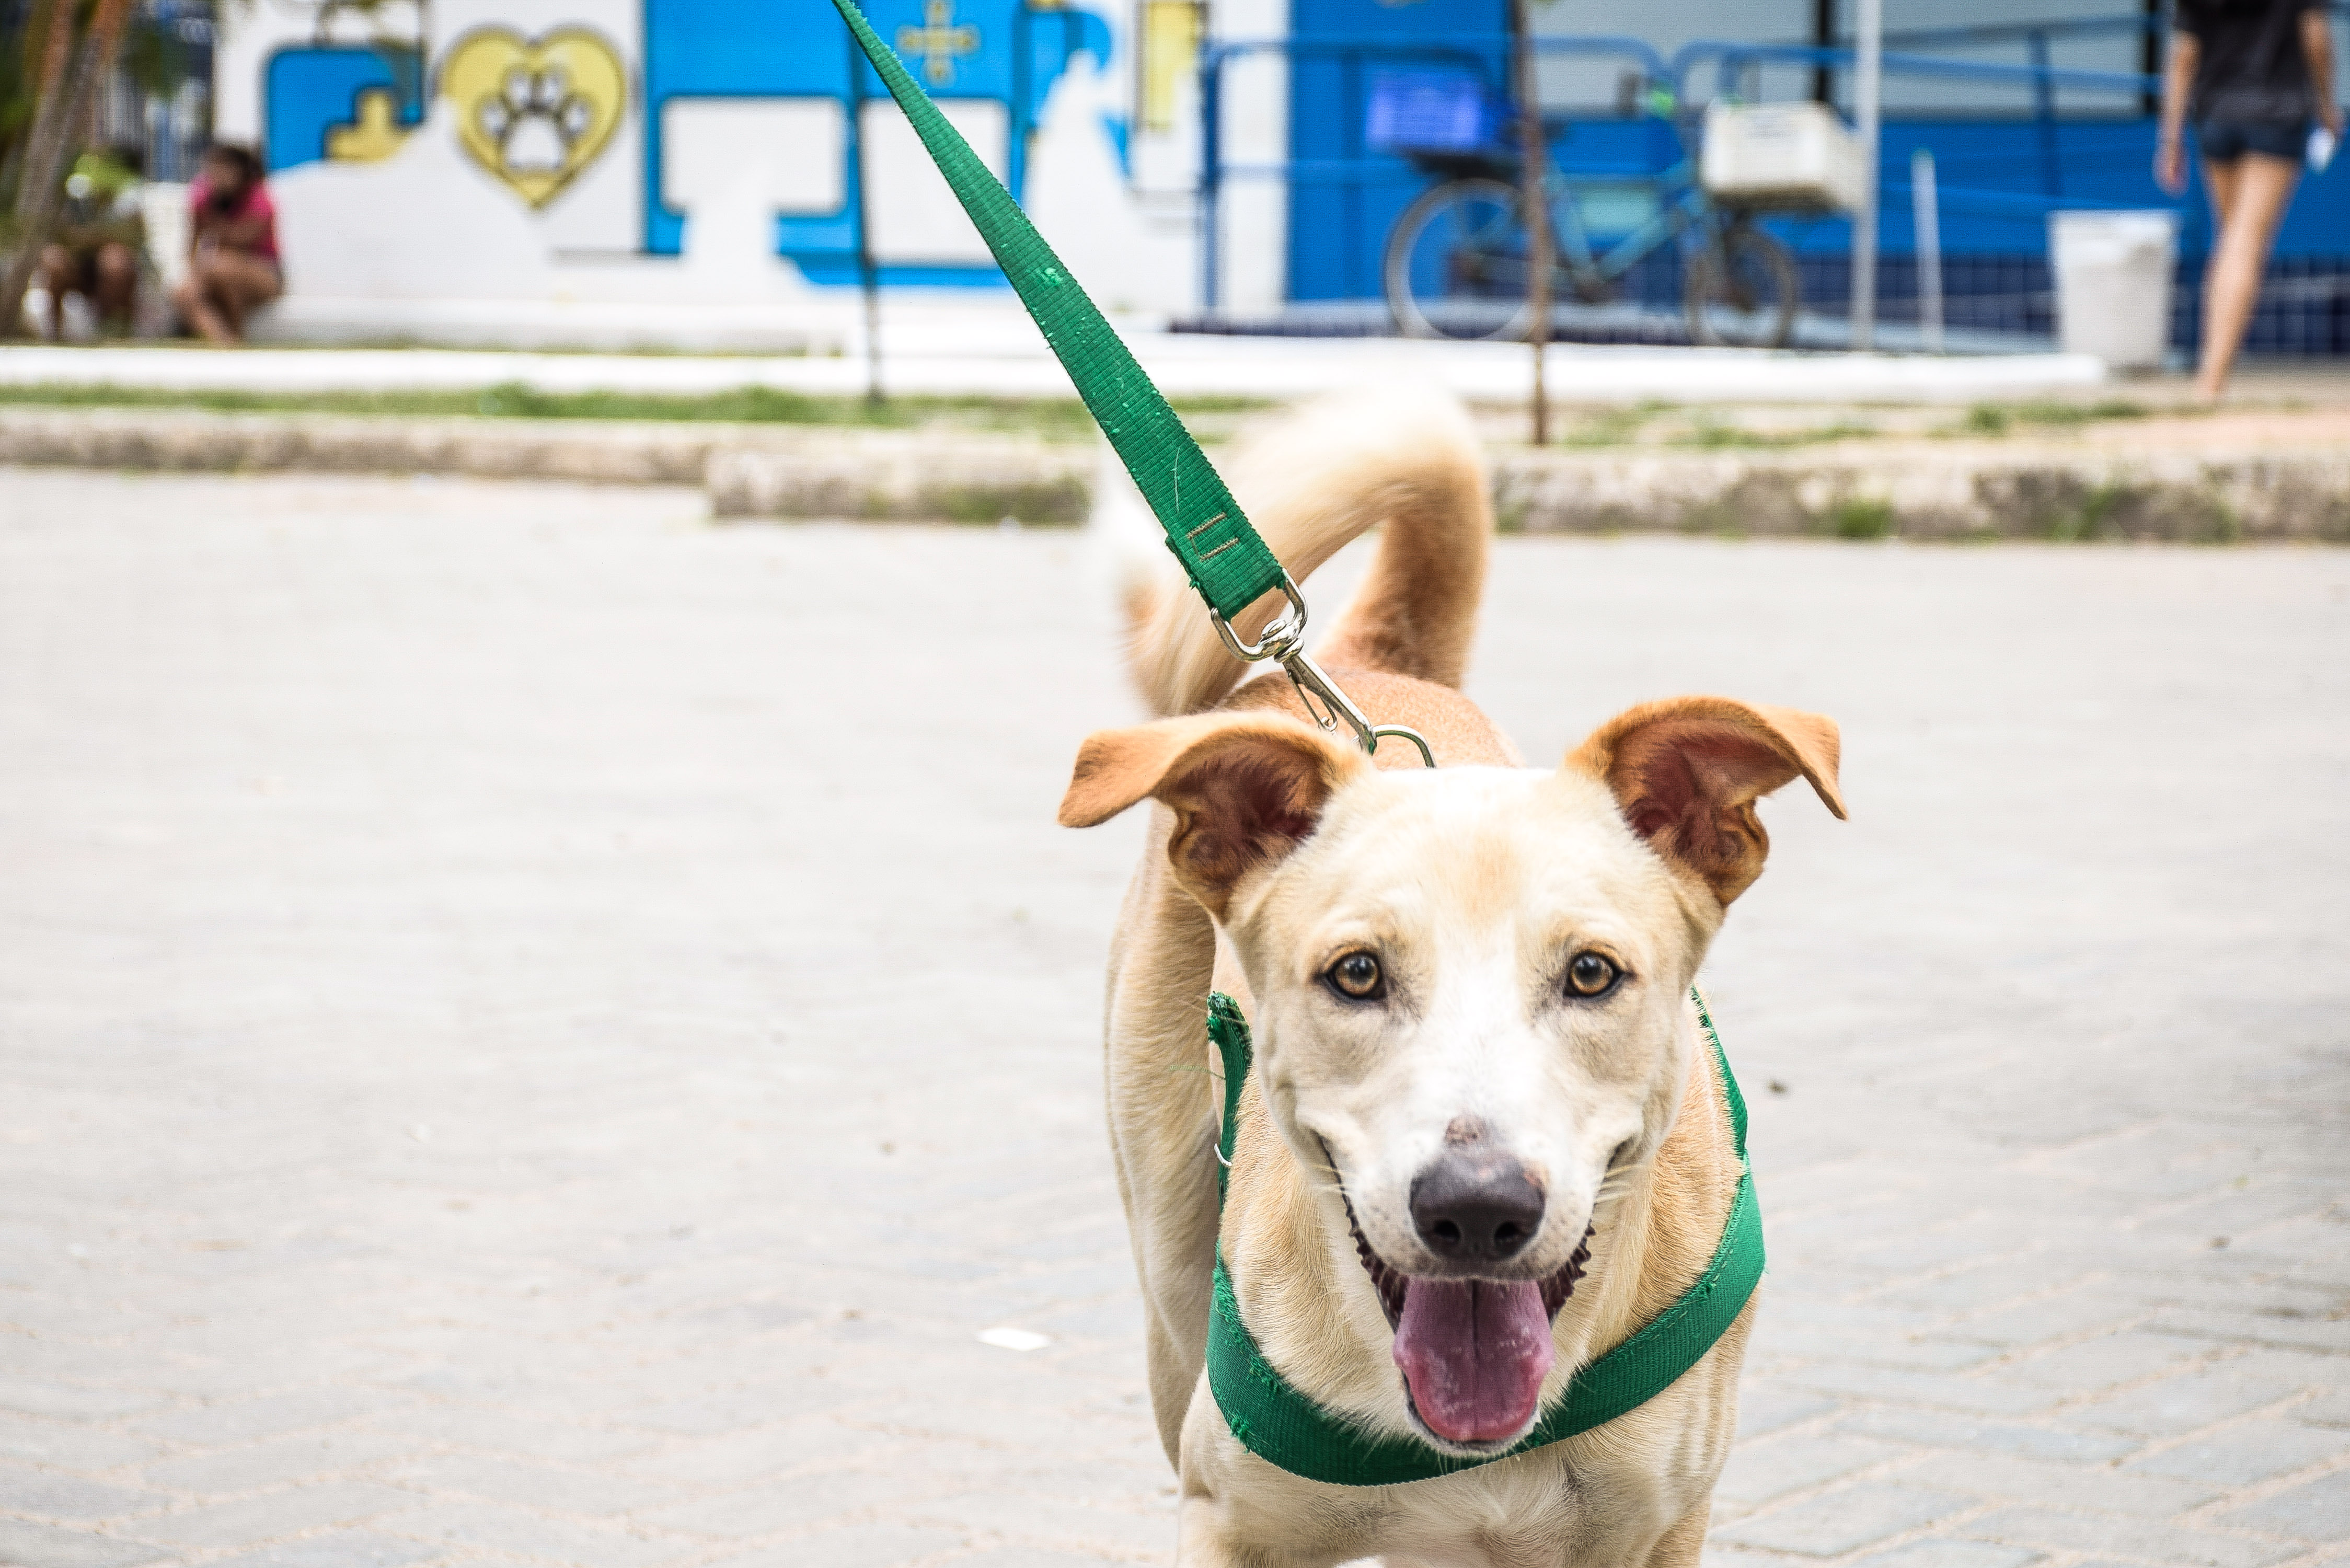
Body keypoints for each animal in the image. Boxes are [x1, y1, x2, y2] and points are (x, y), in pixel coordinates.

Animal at [1057, 395, 1842, 1568]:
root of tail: (1361, 669)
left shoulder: (1657, 1529)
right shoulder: (1228, 1520)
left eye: (1592, 974)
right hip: (1168, 1271)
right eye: (1356, 975)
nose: (1476, 1211)